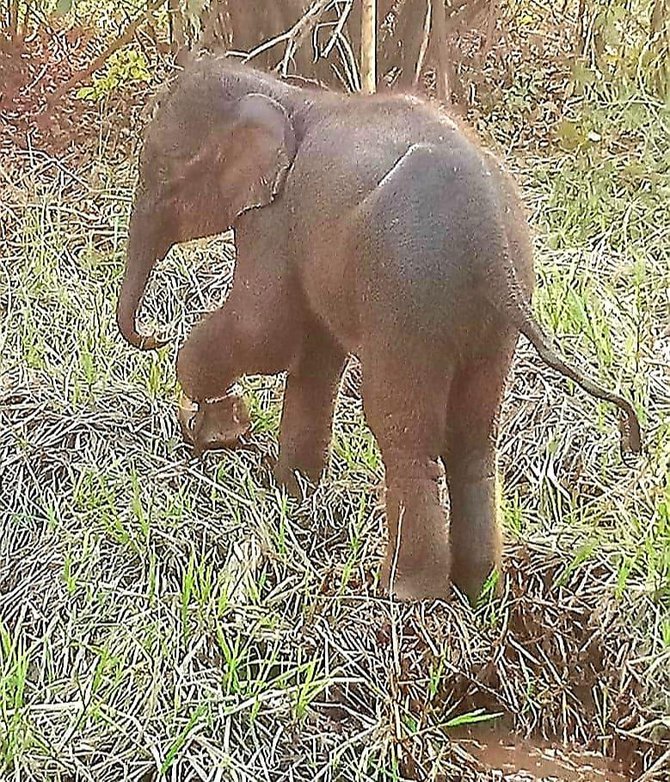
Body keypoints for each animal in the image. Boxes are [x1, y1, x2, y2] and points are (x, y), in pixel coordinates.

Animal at [118, 53, 644, 608]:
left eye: (161, 173)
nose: (154, 333)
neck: (281, 91)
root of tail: (492, 240)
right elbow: (314, 355)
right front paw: (289, 492)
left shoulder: (275, 219)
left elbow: (266, 330)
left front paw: (212, 419)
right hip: (497, 311)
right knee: (473, 434)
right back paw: (480, 590)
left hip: (406, 300)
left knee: (402, 430)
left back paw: (406, 593)